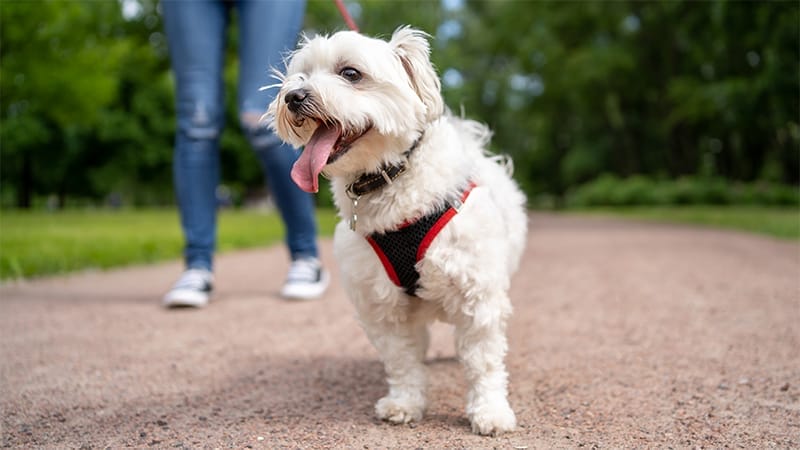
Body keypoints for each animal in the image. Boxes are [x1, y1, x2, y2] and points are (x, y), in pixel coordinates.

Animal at [268, 26, 528, 434]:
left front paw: (490, 412)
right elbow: (402, 361)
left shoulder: (476, 296)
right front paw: (405, 403)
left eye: (351, 73)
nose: (294, 97)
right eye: (301, 75)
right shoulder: (381, 303)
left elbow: (483, 362)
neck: (392, 187)